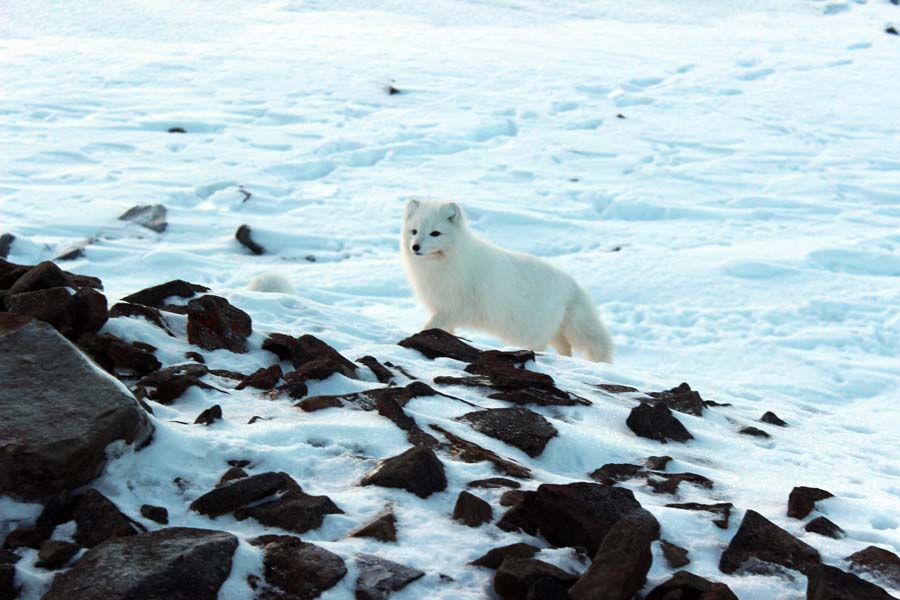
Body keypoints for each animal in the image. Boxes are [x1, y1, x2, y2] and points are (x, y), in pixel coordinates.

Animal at [404, 199, 616, 364]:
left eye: (435, 233)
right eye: (414, 231)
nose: (415, 247)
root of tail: (571, 285)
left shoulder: (456, 307)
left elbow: (430, 326)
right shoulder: (444, 307)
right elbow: (443, 330)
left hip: (531, 333)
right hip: (554, 331)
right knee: (565, 347)